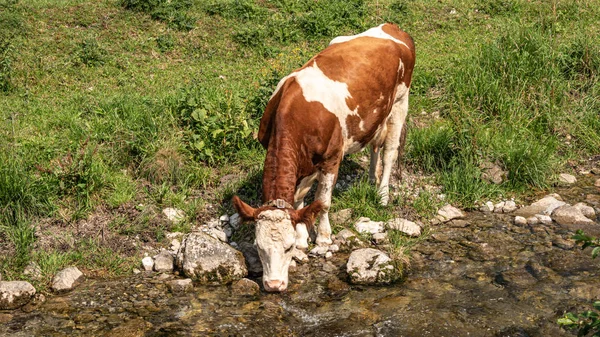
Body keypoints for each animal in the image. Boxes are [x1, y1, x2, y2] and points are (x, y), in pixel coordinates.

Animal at [232, 23, 414, 292]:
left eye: (286, 247)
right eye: (258, 247)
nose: (274, 285)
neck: (296, 114)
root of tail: (390, 27)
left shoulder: (331, 158)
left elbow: (323, 201)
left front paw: (323, 239)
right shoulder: (302, 164)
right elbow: (299, 200)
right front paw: (302, 236)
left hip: (400, 101)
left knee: (389, 151)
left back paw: (382, 194)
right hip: (375, 114)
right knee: (374, 146)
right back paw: (372, 179)